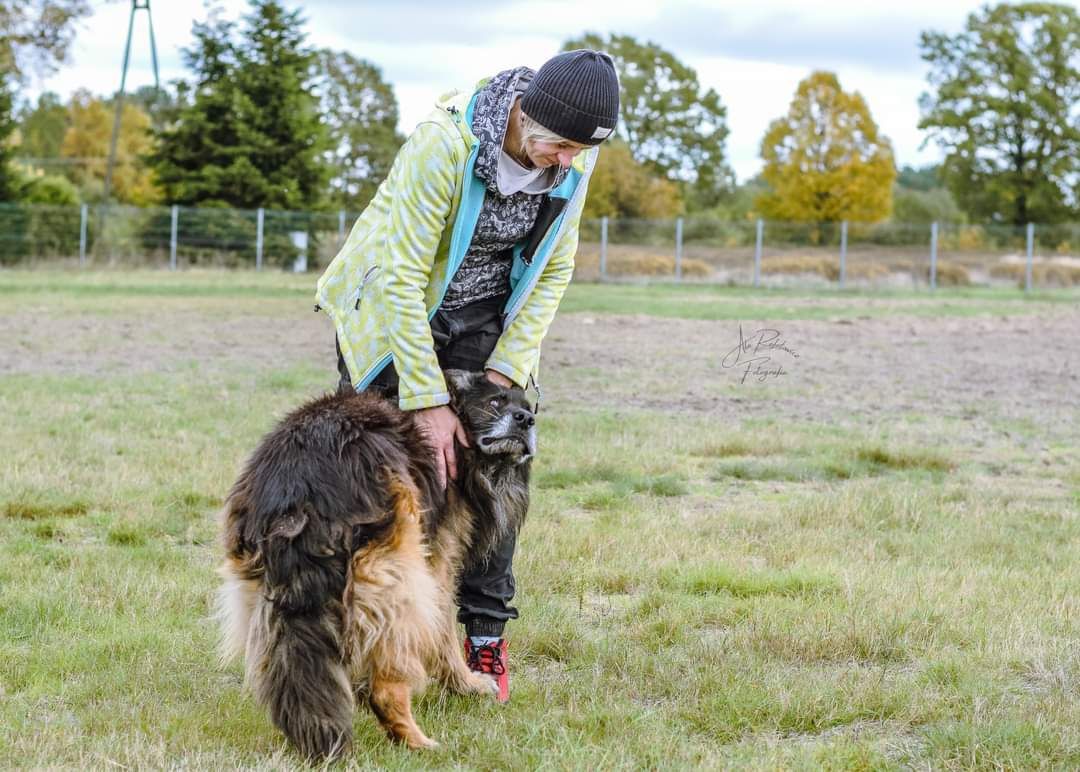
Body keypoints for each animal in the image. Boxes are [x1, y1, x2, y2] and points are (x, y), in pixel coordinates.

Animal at [218, 373, 535, 760]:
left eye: (528, 408)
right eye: (494, 402)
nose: (527, 420)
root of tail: (299, 484)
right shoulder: (438, 562)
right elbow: (443, 633)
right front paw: (468, 684)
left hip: (265, 593)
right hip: (399, 571)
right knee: (385, 686)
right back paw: (417, 741)